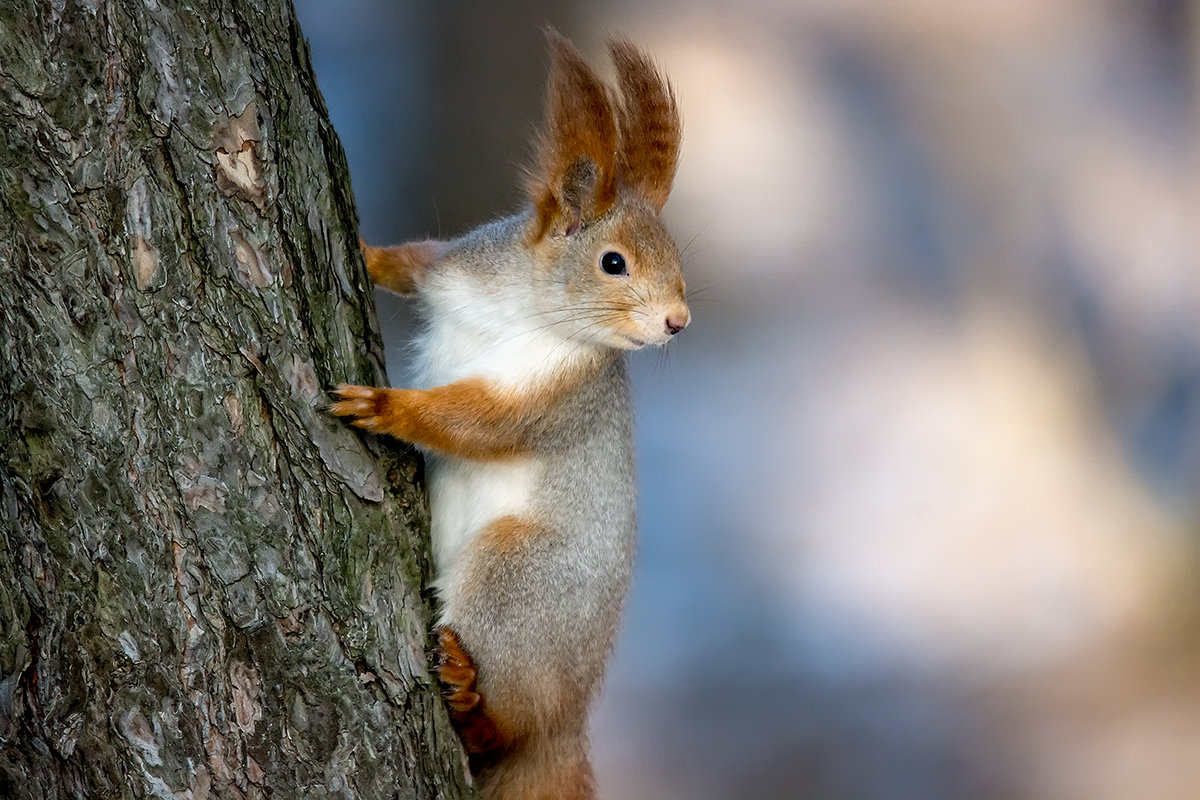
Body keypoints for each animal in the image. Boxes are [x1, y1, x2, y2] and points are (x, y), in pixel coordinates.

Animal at [331, 31, 686, 800]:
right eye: (613, 262)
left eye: (677, 258)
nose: (679, 321)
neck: (525, 302)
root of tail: (569, 719)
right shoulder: (452, 269)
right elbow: (409, 263)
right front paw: (367, 254)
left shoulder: (553, 396)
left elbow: (475, 422)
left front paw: (385, 405)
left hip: (518, 580)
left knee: (508, 726)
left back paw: (473, 703)